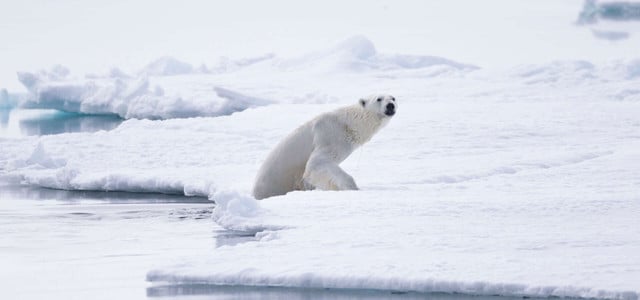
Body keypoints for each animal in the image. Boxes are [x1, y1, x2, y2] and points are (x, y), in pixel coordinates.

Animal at [251, 94, 396, 199]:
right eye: (379, 98)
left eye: (393, 98)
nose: (390, 105)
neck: (347, 123)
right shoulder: (330, 136)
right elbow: (316, 163)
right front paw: (354, 189)